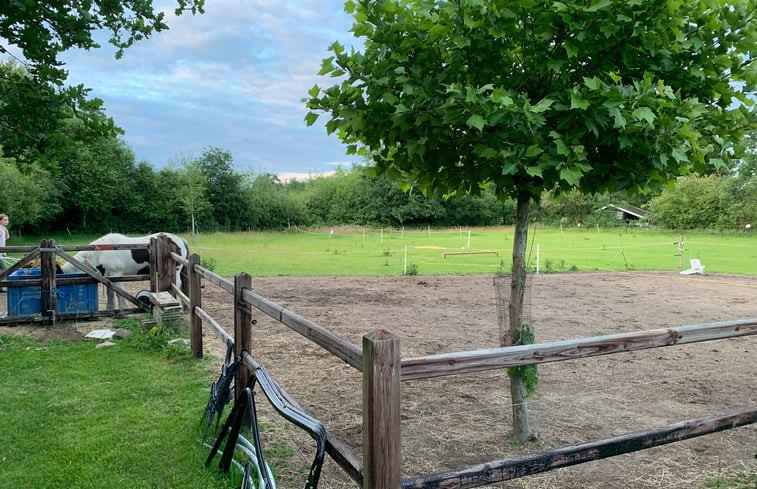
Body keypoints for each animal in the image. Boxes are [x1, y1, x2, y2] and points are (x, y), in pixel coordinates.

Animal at [62, 233, 192, 308]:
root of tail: (181, 239)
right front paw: (110, 309)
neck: (100, 253)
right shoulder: (108, 276)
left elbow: (119, 293)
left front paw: (123, 309)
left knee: (177, 284)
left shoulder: (117, 274)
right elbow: (110, 293)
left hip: (176, 270)